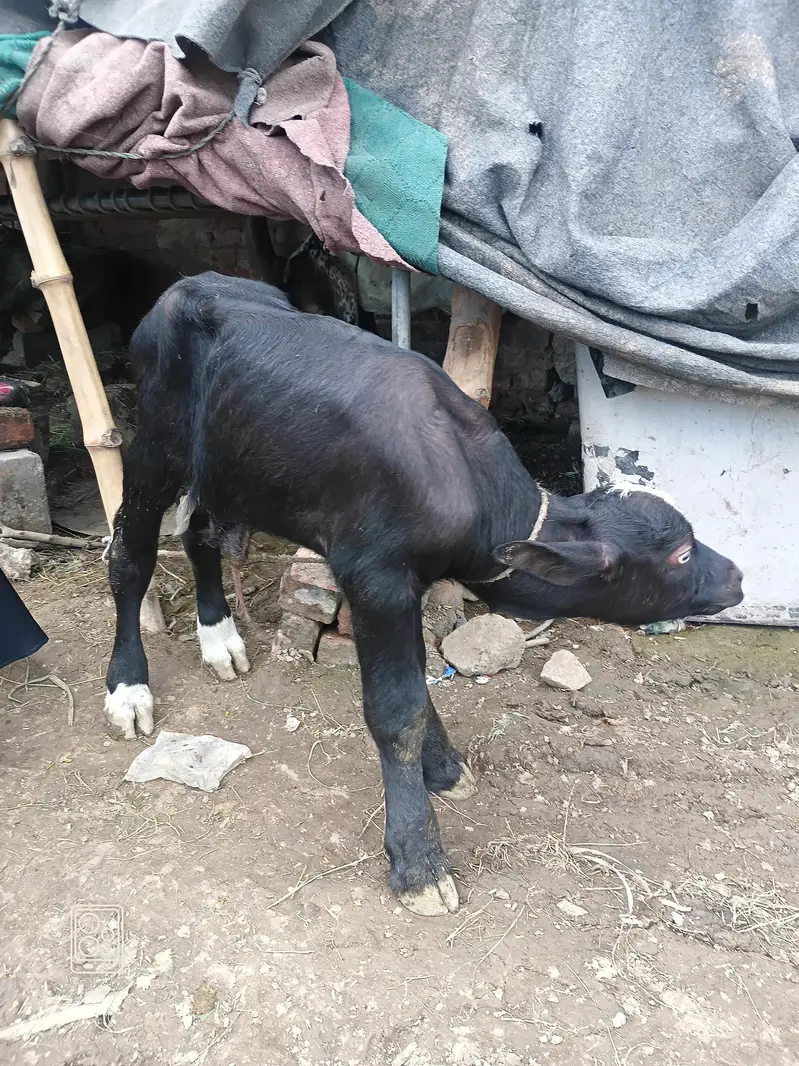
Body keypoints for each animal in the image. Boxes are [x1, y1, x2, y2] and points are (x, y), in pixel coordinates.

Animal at [104, 273, 743, 917]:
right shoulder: (375, 578)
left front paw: (445, 770)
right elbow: (396, 709)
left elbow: (419, 683)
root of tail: (192, 284)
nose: (737, 576)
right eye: (681, 553)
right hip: (153, 448)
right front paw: (418, 859)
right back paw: (128, 689)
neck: (466, 483)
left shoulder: (409, 584)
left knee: (199, 534)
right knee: (130, 556)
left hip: (228, 469)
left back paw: (219, 640)